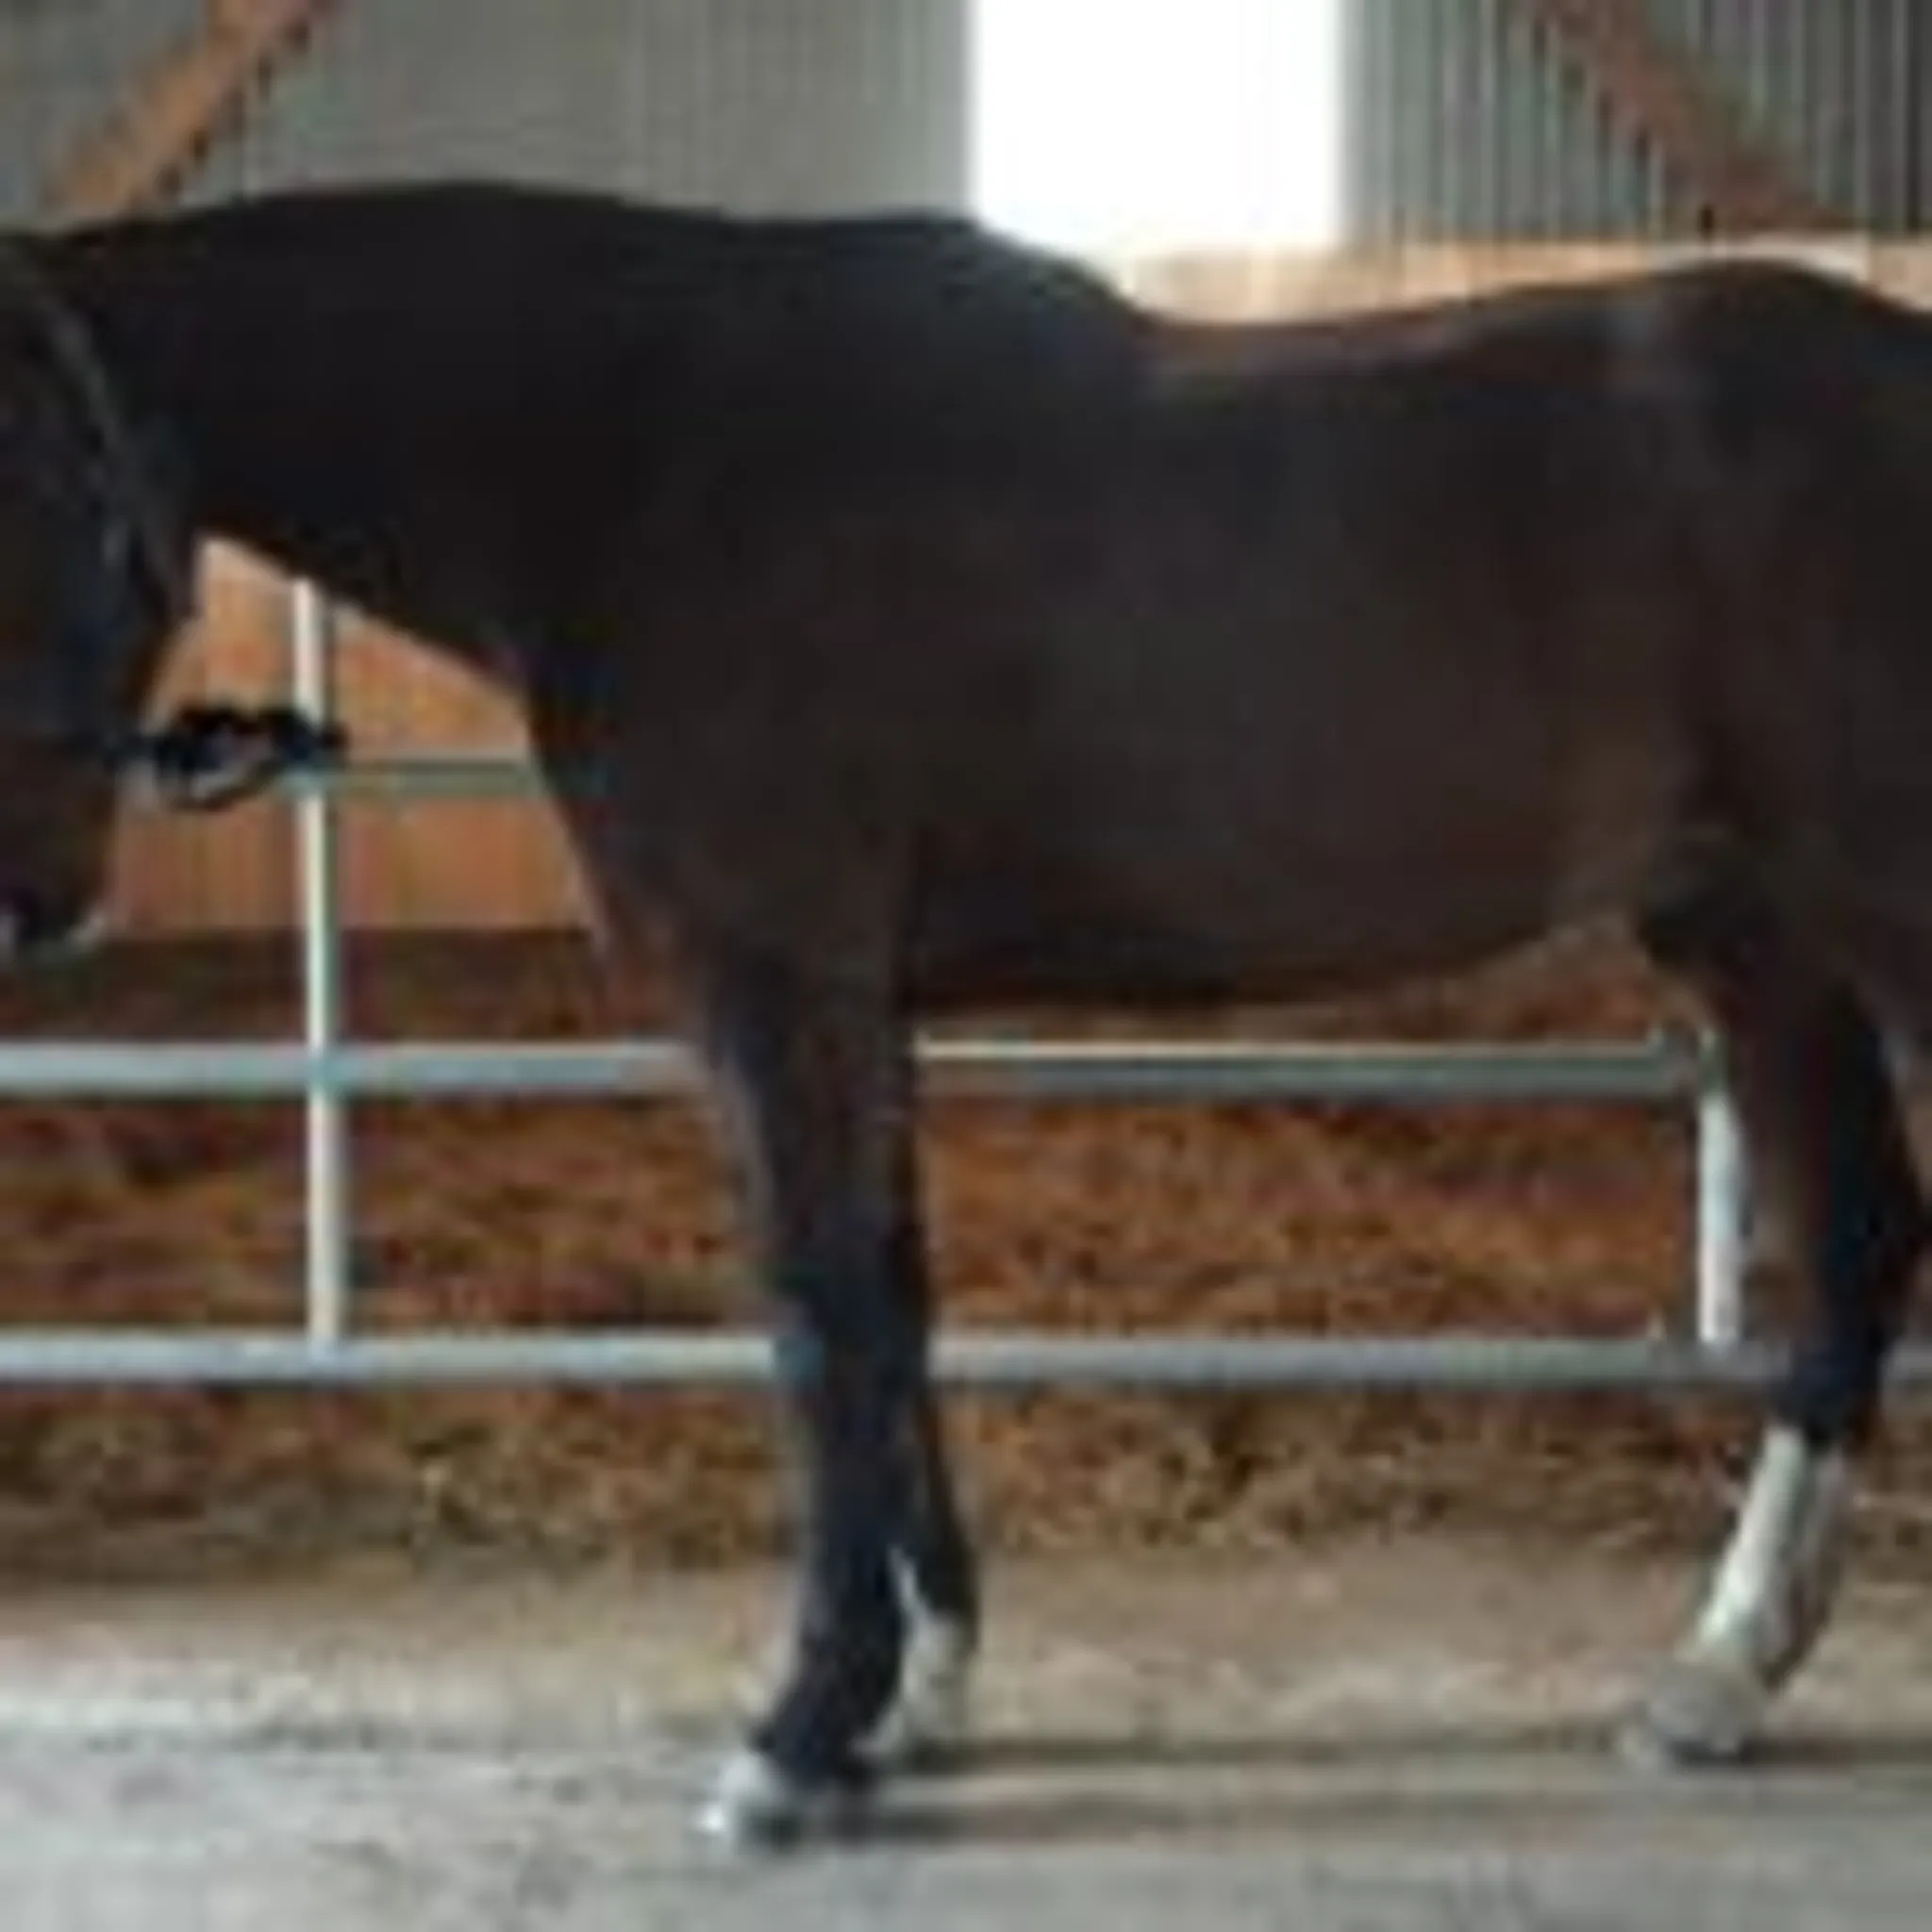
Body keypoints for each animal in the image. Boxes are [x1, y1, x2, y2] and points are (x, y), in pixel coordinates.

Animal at [0, 181, 1926, 1846]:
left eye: (65, 501)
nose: (37, 902)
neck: (636, 460)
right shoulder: (860, 1005)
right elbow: (891, 1306)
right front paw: (914, 1696)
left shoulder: (769, 983)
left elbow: (812, 1316)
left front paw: (796, 1732)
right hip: (1751, 932)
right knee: (1852, 1243)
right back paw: (1716, 1675)